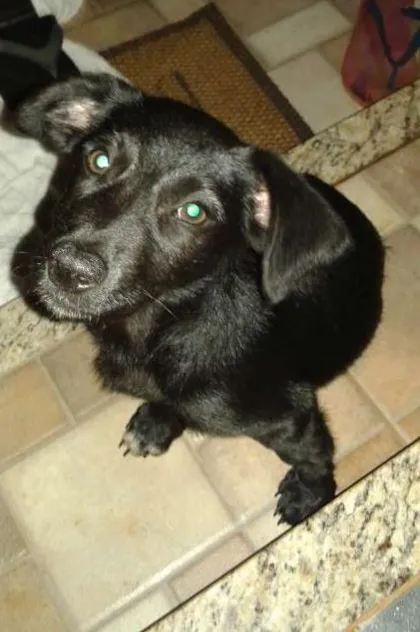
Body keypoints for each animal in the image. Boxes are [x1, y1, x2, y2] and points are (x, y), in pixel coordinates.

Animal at [11, 73, 385, 526]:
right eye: (98, 160)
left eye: (193, 212)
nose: (69, 270)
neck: (164, 325)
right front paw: (158, 421)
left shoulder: (292, 414)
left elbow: (314, 453)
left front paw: (310, 495)